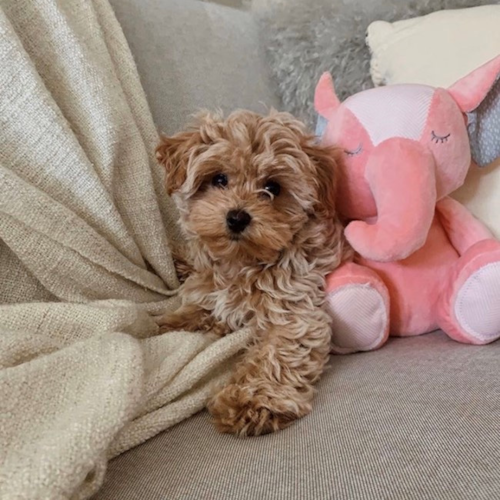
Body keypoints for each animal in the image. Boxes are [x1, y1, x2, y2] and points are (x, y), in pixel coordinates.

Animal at [156, 110, 348, 438]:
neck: (242, 263)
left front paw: (252, 401)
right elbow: (199, 308)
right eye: (219, 179)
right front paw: (167, 324)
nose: (237, 217)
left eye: (272, 188)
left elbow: (278, 353)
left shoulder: (296, 308)